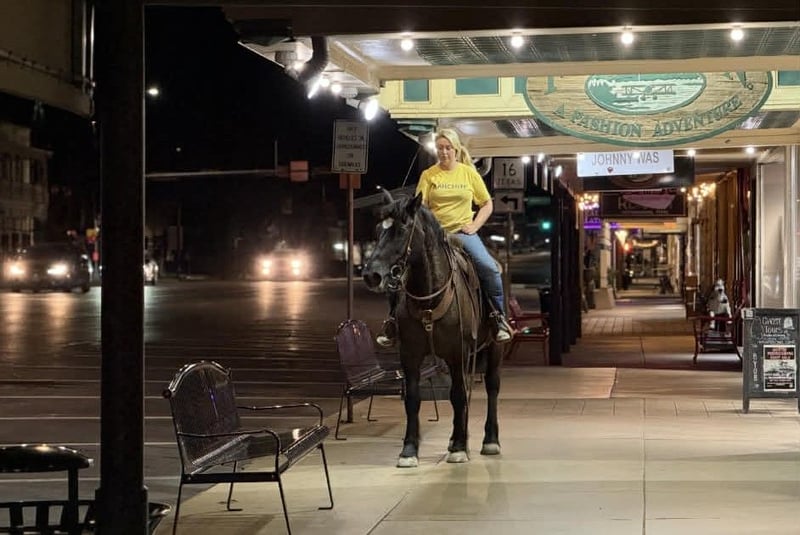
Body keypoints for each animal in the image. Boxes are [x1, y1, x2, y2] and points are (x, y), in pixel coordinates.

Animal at [361, 190, 503, 468]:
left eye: (402, 230)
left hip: (493, 347)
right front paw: (409, 450)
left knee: (491, 387)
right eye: (378, 229)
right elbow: (413, 399)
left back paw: (489, 440)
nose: (372, 275)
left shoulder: (459, 351)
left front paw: (459, 448)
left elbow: (458, 395)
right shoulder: (410, 355)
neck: (429, 295)